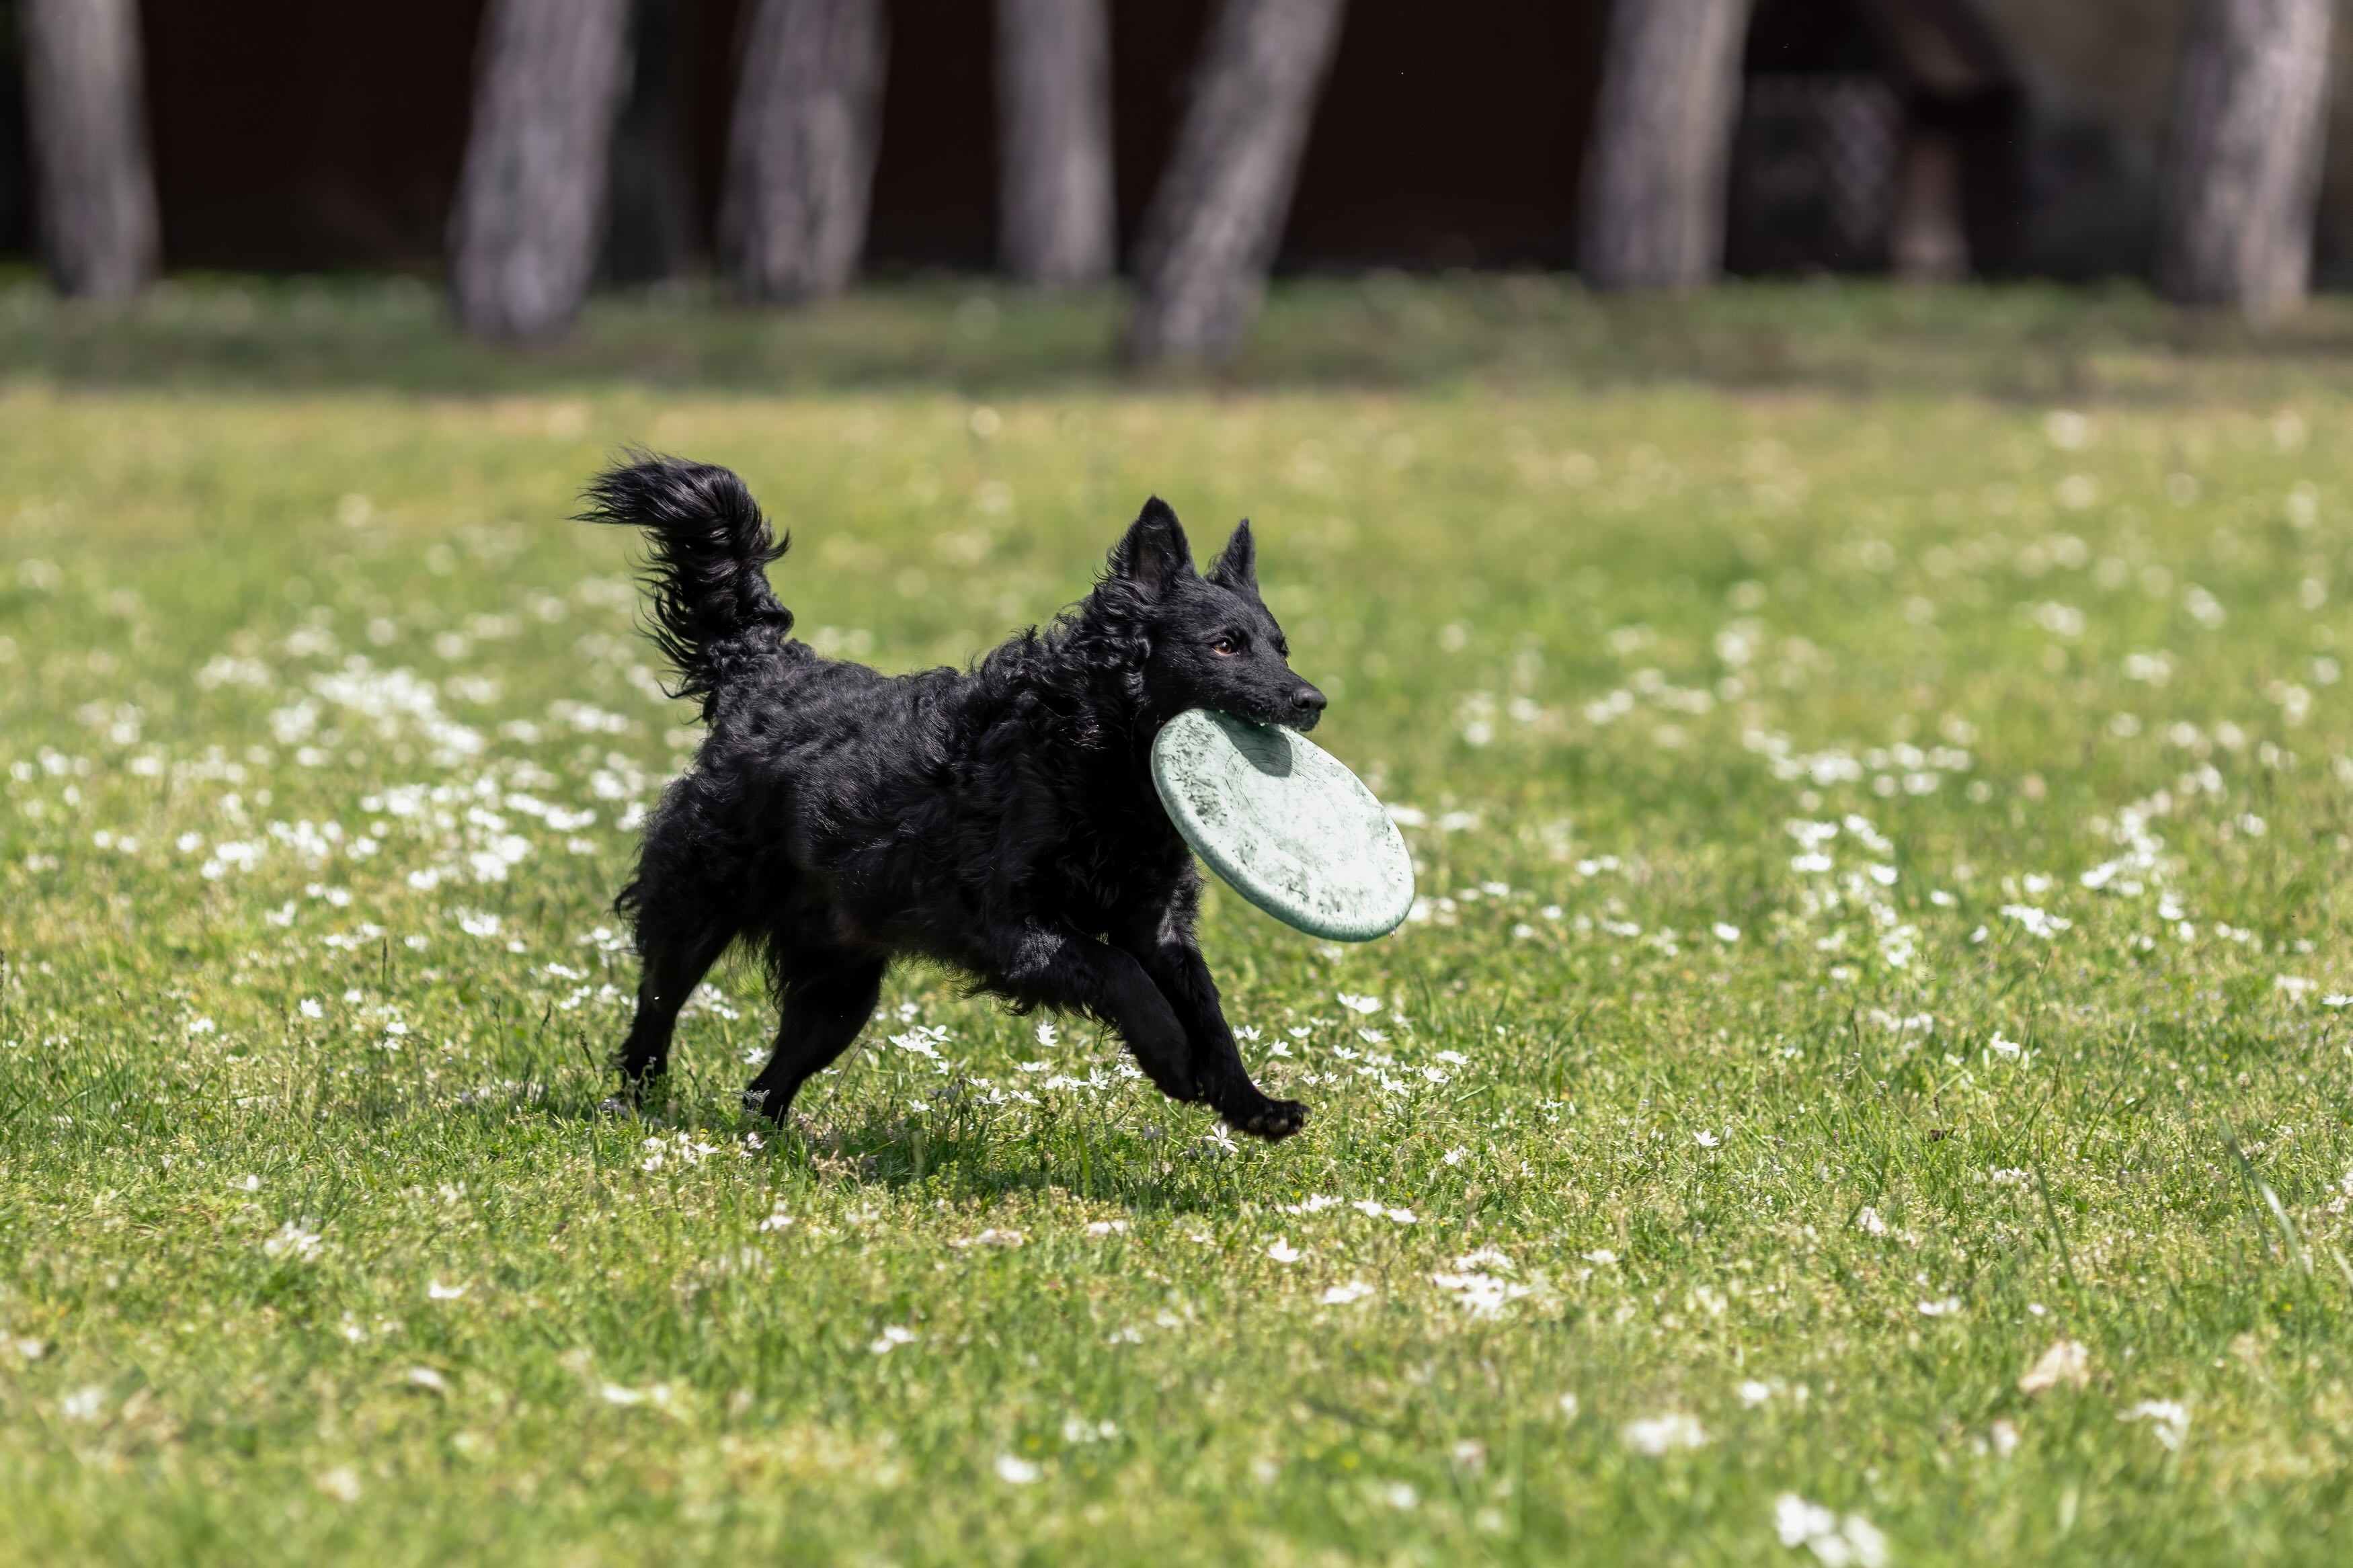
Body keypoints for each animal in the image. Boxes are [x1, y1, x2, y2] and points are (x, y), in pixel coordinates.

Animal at [579, 454, 1327, 1142]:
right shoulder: (1012, 928)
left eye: (1282, 647)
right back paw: (632, 1105)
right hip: (696, 908)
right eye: (1225, 645)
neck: (1099, 757)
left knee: (764, 1087)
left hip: (840, 988)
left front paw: (1251, 1103)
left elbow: (1208, 1009)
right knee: (656, 1012)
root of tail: (762, 668)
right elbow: (1117, 970)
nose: (1312, 700)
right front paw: (1170, 1055)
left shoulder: (1158, 923)